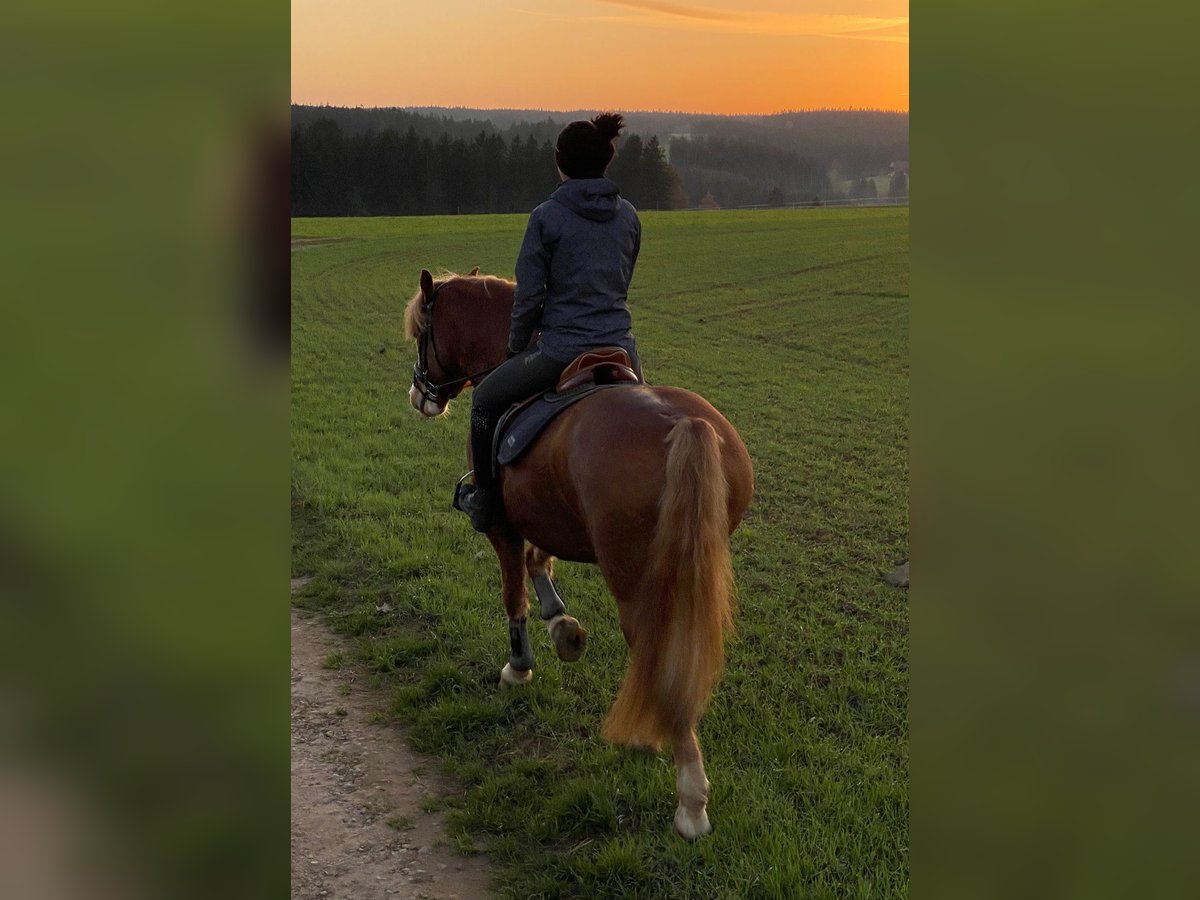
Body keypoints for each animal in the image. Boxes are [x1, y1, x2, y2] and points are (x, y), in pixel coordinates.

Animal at [408, 267, 753, 840]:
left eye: (422, 333)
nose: (419, 394)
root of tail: (684, 426)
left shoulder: (502, 525)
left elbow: (513, 592)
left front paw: (519, 666)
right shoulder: (544, 513)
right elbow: (539, 565)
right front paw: (562, 626)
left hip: (636, 581)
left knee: (660, 659)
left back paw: (689, 798)